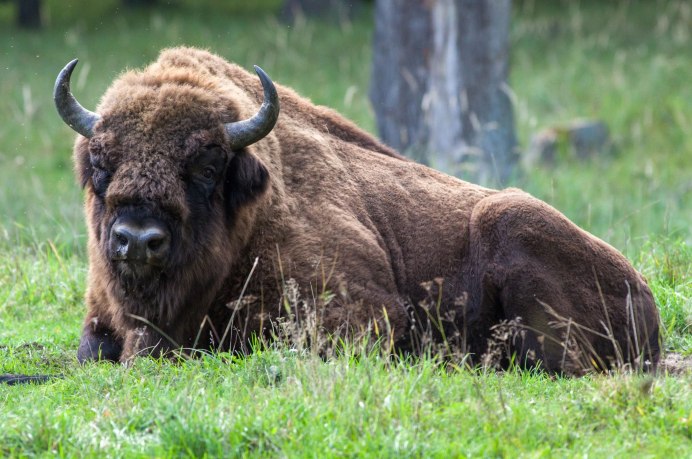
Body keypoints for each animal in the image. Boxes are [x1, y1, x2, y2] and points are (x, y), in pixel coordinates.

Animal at [54, 48, 660, 374]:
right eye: (101, 161)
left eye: (207, 164)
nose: (137, 239)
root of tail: (642, 291)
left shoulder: (361, 310)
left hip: (513, 225)